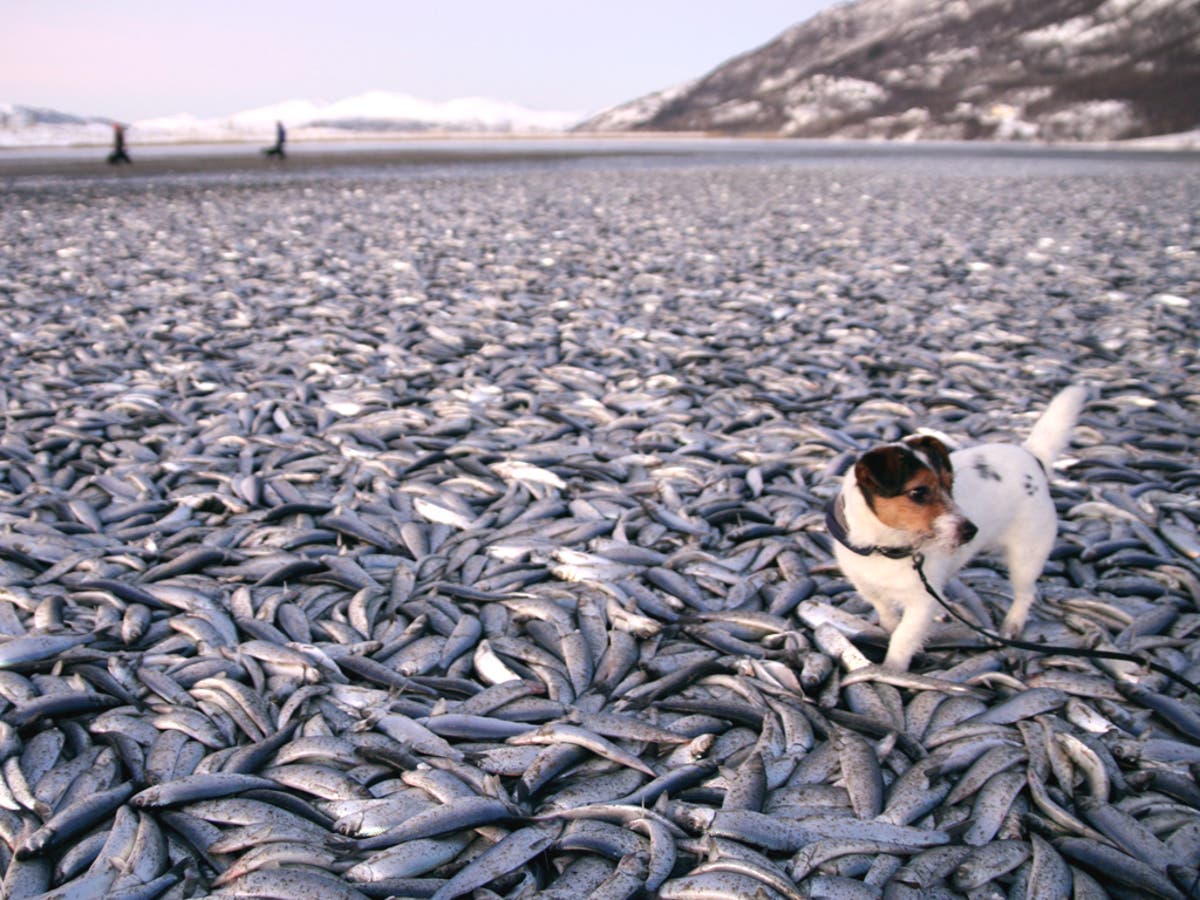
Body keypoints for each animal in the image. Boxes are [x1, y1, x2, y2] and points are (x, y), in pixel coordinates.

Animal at [825, 384, 1089, 672]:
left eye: (950, 485)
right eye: (918, 492)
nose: (971, 531)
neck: (884, 546)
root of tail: (1032, 457)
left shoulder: (921, 603)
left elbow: (903, 639)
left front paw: (891, 671)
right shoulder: (866, 584)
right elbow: (884, 609)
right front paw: (890, 627)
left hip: (1027, 554)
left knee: (1026, 592)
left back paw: (1013, 624)